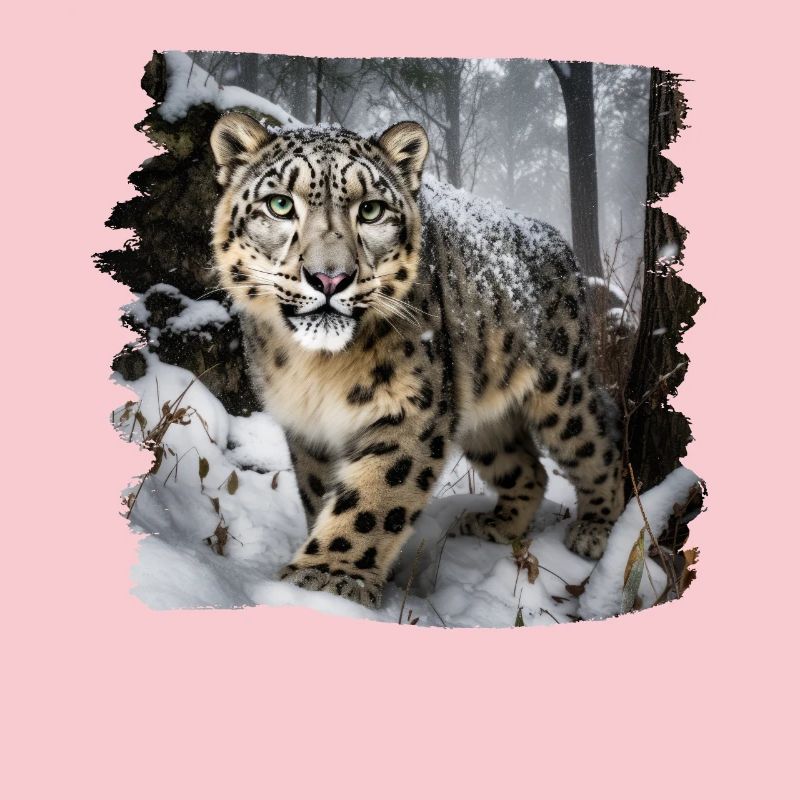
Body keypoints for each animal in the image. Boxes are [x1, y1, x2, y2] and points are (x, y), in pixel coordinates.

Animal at [209, 111, 625, 609]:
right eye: (279, 204)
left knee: (598, 446)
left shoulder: (413, 406)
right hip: (480, 415)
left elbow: (374, 498)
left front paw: (328, 579)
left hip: (561, 388)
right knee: (530, 469)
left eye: (371, 210)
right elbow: (320, 493)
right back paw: (496, 525)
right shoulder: (307, 427)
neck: (318, 372)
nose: (330, 278)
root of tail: (561, 245)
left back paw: (594, 531)